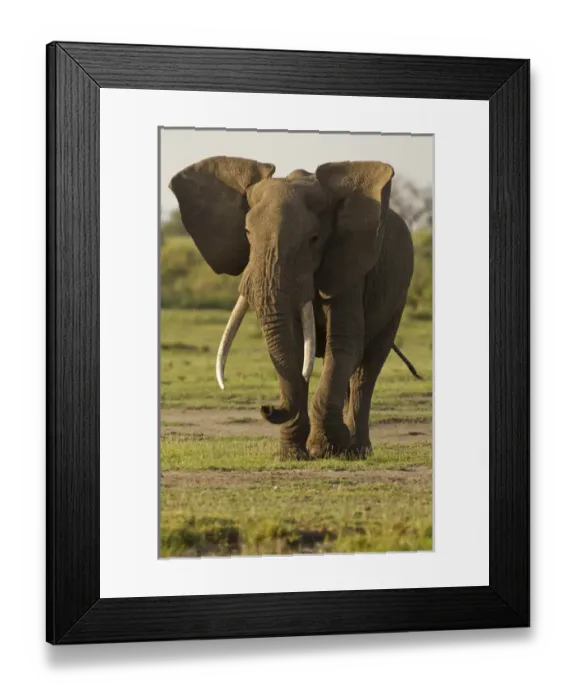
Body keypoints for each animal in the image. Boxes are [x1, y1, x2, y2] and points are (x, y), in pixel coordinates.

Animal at [169, 156, 421, 460]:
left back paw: (357, 450)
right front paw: (293, 454)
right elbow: (294, 348)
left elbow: (343, 343)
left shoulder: (348, 265)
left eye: (313, 239)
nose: (267, 407)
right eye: (247, 234)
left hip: (398, 294)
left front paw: (327, 448)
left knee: (366, 368)